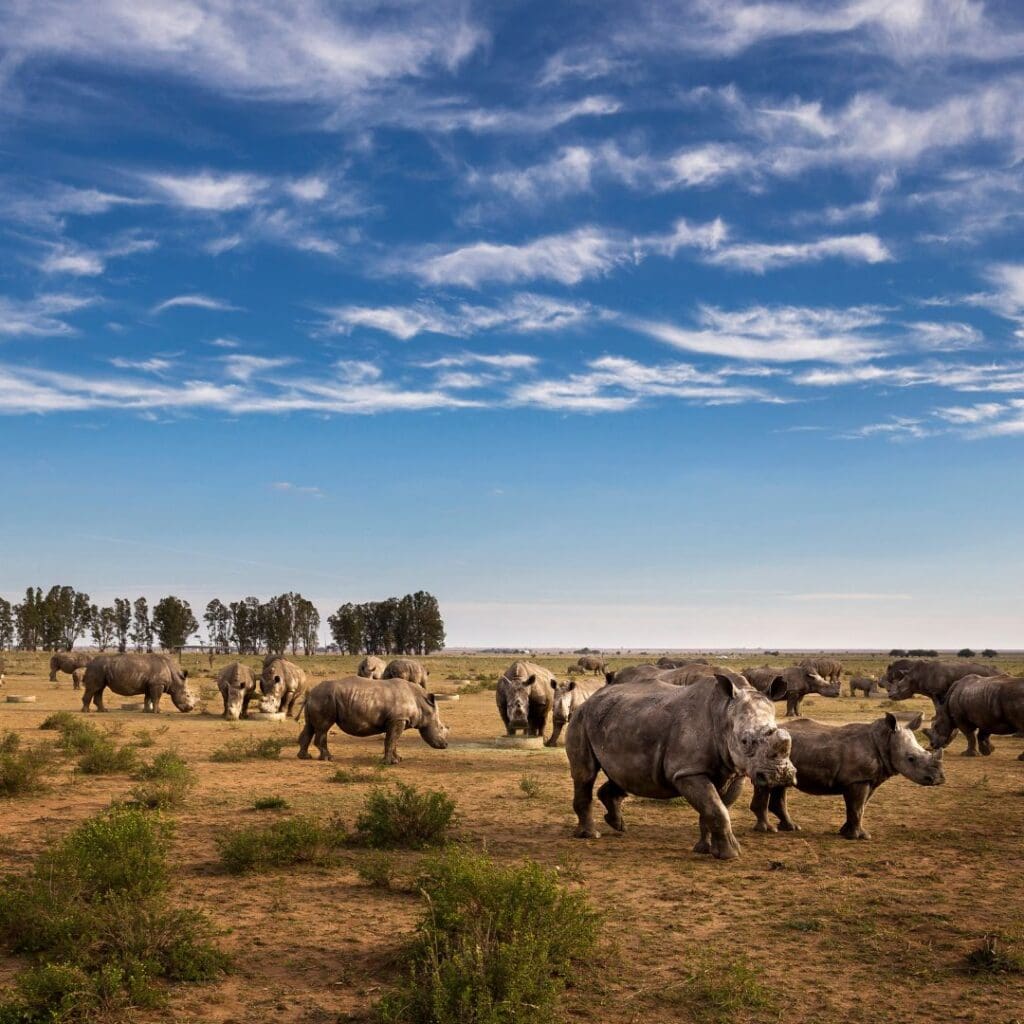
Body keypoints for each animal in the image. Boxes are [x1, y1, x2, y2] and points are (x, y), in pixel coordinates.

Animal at [296, 675, 448, 765]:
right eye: (441, 728)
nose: (445, 745)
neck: (421, 704)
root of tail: (310, 695)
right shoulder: (397, 719)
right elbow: (391, 740)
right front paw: (389, 763)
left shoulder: (397, 720)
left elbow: (394, 741)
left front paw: (398, 759)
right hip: (324, 698)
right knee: (323, 728)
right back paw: (329, 758)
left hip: (319, 698)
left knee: (310, 727)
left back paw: (305, 757)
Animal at [569, 675, 790, 860]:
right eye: (745, 741)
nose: (780, 775)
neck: (723, 713)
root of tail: (589, 699)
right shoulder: (687, 771)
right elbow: (717, 809)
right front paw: (730, 855)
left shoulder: (734, 771)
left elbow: (715, 808)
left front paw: (705, 849)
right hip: (581, 718)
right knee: (586, 775)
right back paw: (590, 835)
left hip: (621, 720)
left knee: (623, 775)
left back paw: (618, 825)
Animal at [749, 712, 946, 839]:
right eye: (911, 759)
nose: (938, 779)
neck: (885, 740)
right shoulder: (858, 779)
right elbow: (857, 807)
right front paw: (862, 836)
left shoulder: (869, 779)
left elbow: (859, 806)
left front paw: (845, 832)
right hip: (765, 754)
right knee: (765, 783)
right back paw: (767, 830)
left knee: (780, 785)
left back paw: (791, 828)